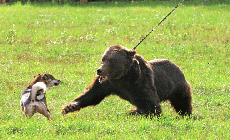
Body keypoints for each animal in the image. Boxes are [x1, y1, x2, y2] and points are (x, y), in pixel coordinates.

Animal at [61, 44, 192, 116]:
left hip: (178, 87)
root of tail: (178, 67)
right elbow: (91, 94)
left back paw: (186, 114)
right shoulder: (107, 84)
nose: (99, 70)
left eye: (112, 60)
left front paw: (134, 111)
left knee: (182, 102)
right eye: (103, 58)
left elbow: (152, 105)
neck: (122, 76)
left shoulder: (139, 81)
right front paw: (69, 107)